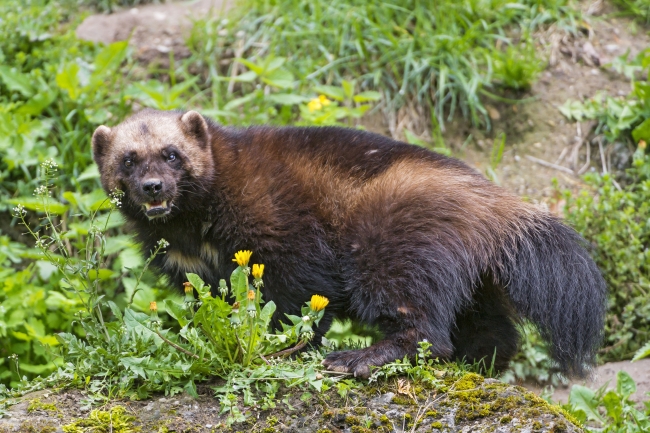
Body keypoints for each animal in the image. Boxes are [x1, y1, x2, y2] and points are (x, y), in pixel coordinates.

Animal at [92, 108, 607, 378]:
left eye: (172, 154)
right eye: (128, 159)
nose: (153, 187)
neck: (194, 232)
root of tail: (492, 201)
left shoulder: (285, 239)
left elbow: (296, 304)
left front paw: (289, 347)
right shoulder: (191, 271)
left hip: (388, 246)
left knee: (424, 330)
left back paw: (358, 357)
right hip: (474, 283)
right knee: (492, 331)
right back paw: (475, 364)